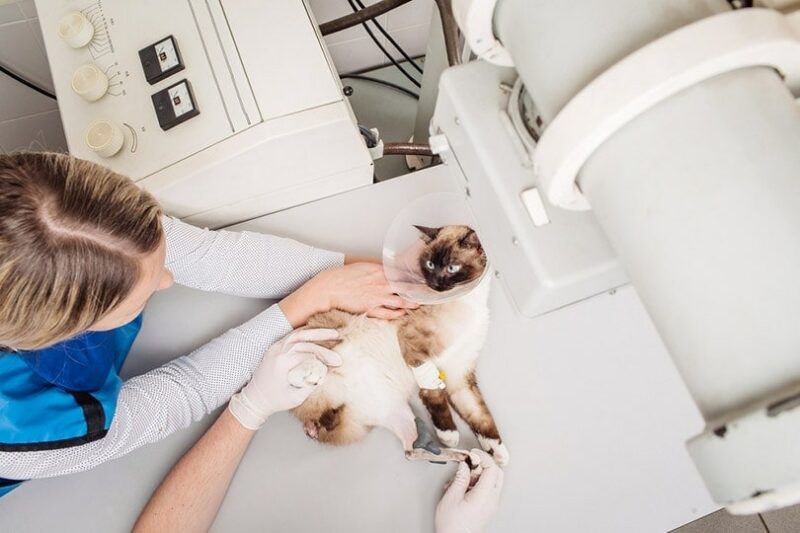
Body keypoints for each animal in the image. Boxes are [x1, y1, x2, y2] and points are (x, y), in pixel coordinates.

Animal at [290, 224, 510, 466]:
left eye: (452, 267)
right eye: (430, 265)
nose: (434, 284)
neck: (470, 302)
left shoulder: (459, 375)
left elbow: (481, 417)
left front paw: (498, 453)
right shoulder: (415, 348)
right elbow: (434, 393)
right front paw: (449, 434)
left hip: (394, 410)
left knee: (411, 450)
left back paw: (468, 457)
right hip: (335, 332)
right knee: (303, 361)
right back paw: (311, 372)